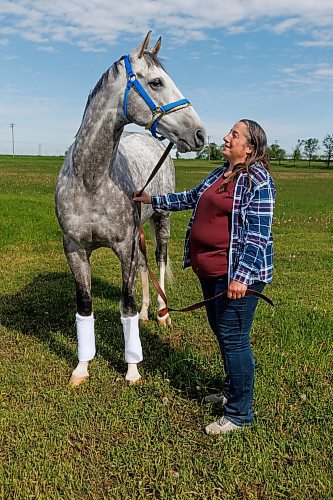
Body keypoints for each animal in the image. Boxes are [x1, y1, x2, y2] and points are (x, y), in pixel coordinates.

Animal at [54, 31, 205, 386]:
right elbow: (85, 306)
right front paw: (81, 368)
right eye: (156, 82)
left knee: (160, 260)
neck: (91, 179)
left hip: (161, 220)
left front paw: (132, 369)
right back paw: (149, 312)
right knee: (144, 266)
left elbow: (126, 306)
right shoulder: (75, 249)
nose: (199, 133)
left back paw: (161, 314)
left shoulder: (124, 247)